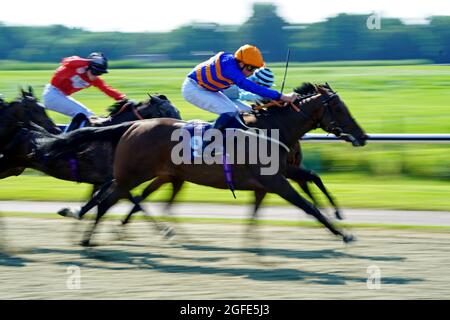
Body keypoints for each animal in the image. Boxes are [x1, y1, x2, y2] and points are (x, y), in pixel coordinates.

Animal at [59, 82, 368, 245]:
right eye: (338, 107)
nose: (363, 136)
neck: (272, 128)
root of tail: (132, 126)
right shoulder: (275, 180)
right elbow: (308, 206)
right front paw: (342, 233)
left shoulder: (281, 173)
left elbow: (312, 176)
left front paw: (339, 215)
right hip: (133, 174)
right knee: (109, 199)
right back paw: (89, 237)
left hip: (155, 174)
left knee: (122, 198)